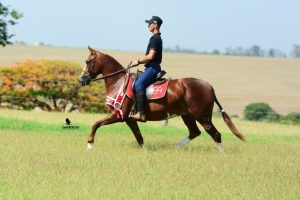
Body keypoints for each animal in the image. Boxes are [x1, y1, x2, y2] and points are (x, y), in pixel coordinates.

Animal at [79, 46, 244, 150]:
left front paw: (89, 145)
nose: (81, 80)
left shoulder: (118, 115)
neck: (118, 82)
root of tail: (209, 86)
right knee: (194, 132)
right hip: (187, 115)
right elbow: (139, 138)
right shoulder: (129, 119)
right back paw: (175, 148)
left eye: (88, 61)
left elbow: (95, 124)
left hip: (202, 116)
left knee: (215, 134)